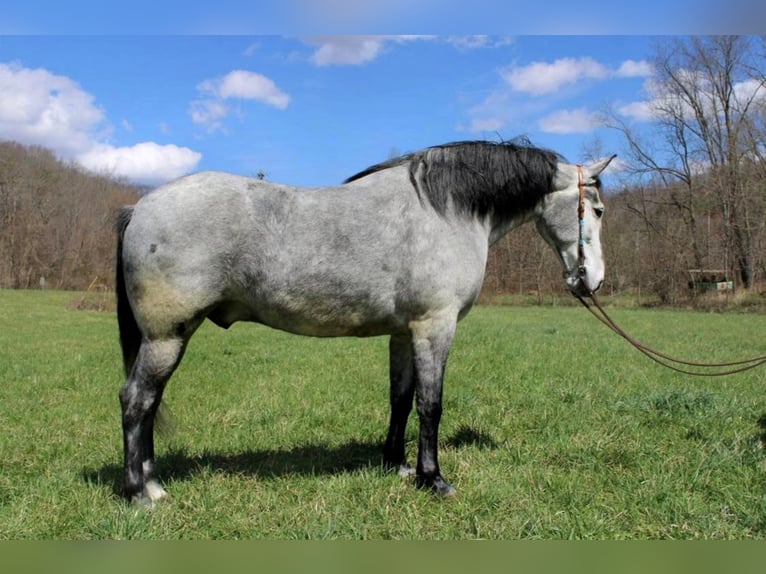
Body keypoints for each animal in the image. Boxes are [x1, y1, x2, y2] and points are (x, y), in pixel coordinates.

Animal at [115, 142, 616, 506]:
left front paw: (397, 464)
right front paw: (433, 479)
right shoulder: (435, 327)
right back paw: (140, 494)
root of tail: (139, 208)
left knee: (149, 404)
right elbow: (430, 405)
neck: (446, 211)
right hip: (166, 336)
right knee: (137, 401)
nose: (592, 280)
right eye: (597, 209)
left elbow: (401, 399)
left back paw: (152, 483)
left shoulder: (404, 332)